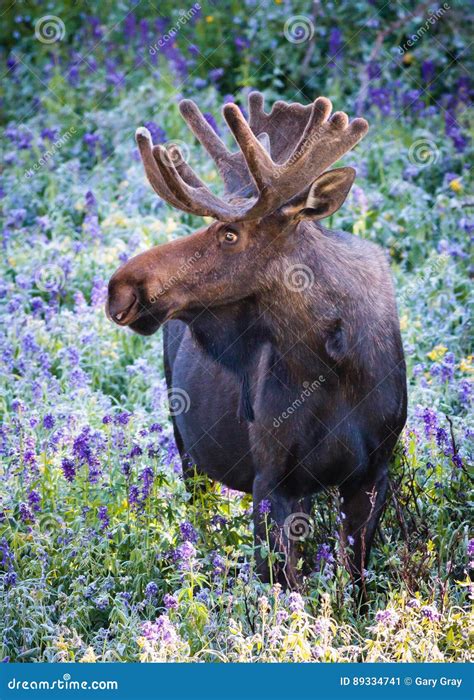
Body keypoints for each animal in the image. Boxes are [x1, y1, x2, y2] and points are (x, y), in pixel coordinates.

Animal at [108, 91, 408, 596]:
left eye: (229, 233)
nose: (119, 289)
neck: (334, 367)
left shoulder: (373, 473)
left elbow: (357, 583)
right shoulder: (272, 477)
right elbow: (285, 587)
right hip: (186, 443)